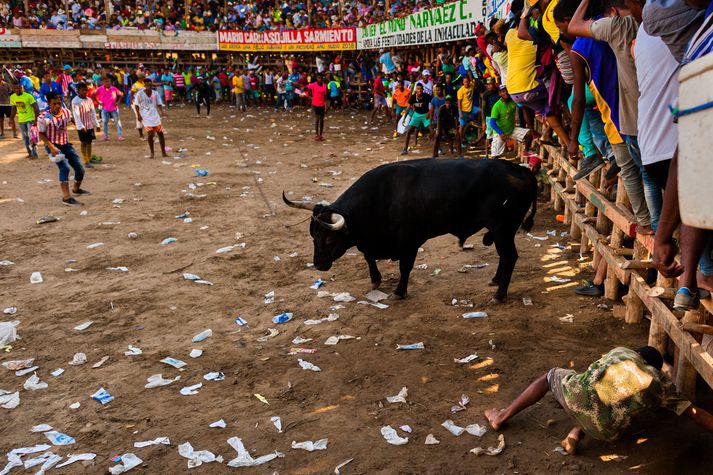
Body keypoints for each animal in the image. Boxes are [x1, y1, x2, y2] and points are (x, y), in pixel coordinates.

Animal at [282, 158, 536, 304]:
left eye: (328, 237)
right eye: (313, 235)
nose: (318, 264)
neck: (381, 197)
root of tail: (521, 170)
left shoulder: (409, 241)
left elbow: (404, 267)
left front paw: (399, 291)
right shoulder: (370, 241)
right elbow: (369, 257)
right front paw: (376, 280)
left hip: (503, 228)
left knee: (509, 256)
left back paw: (499, 295)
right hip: (503, 230)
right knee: (504, 256)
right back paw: (495, 280)